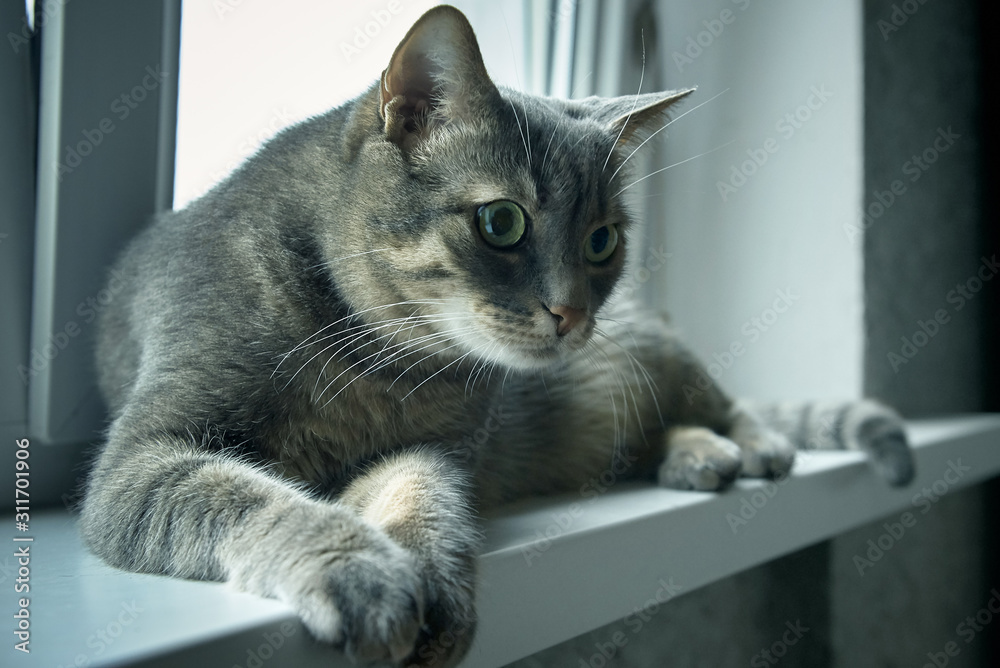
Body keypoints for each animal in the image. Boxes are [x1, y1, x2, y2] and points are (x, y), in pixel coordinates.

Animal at [82, 6, 916, 668]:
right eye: (502, 221)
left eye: (603, 240)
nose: (573, 313)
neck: (376, 363)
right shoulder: (143, 461)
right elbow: (254, 498)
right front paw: (361, 570)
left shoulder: (433, 449)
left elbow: (424, 499)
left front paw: (432, 587)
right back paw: (698, 456)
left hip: (666, 362)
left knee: (726, 405)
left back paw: (741, 444)